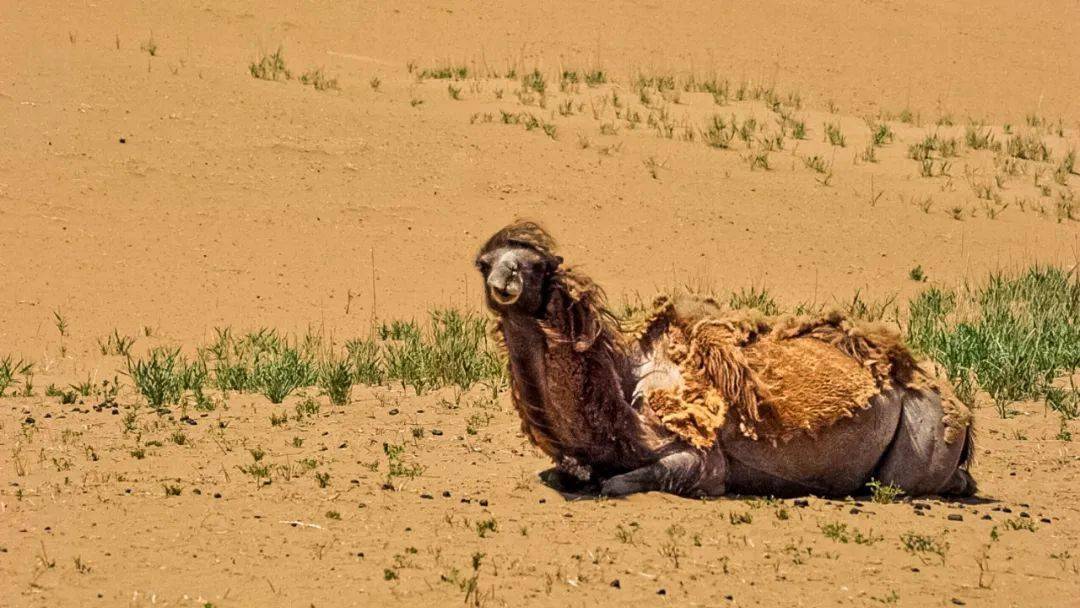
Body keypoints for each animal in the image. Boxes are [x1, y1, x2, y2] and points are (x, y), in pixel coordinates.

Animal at [477, 221, 976, 496]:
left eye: (537, 265)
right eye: (485, 263)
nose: (504, 283)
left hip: (925, 432)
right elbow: (565, 473)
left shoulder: (702, 461)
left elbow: (619, 482)